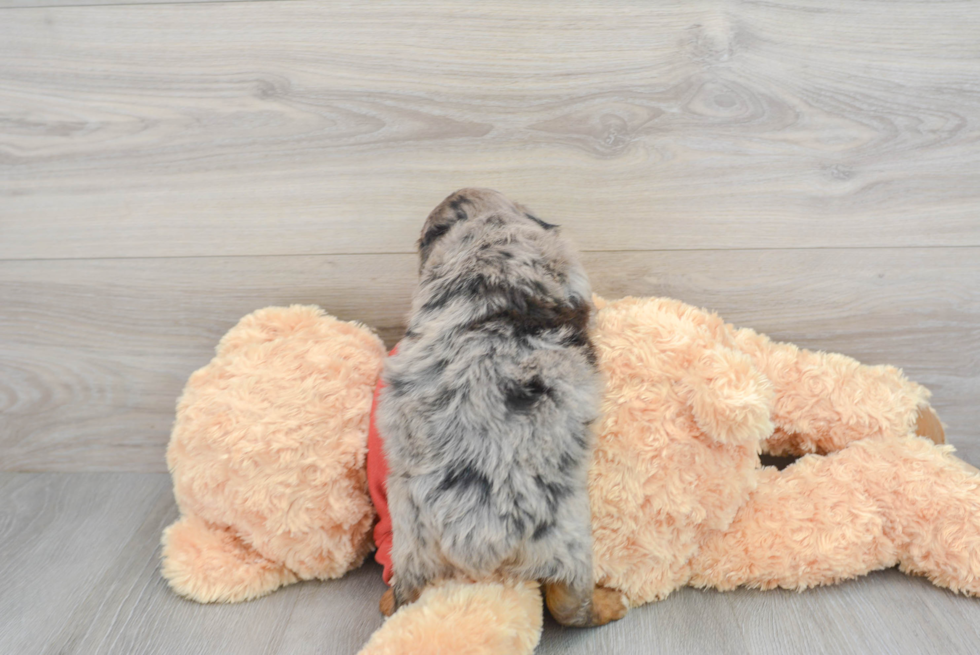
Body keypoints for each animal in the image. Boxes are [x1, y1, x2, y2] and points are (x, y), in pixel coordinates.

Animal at [378, 187, 628, 628]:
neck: (484, 235)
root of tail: (475, 537)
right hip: (568, 534)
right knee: (568, 604)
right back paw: (609, 602)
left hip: (409, 538)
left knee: (406, 592)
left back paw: (389, 600)